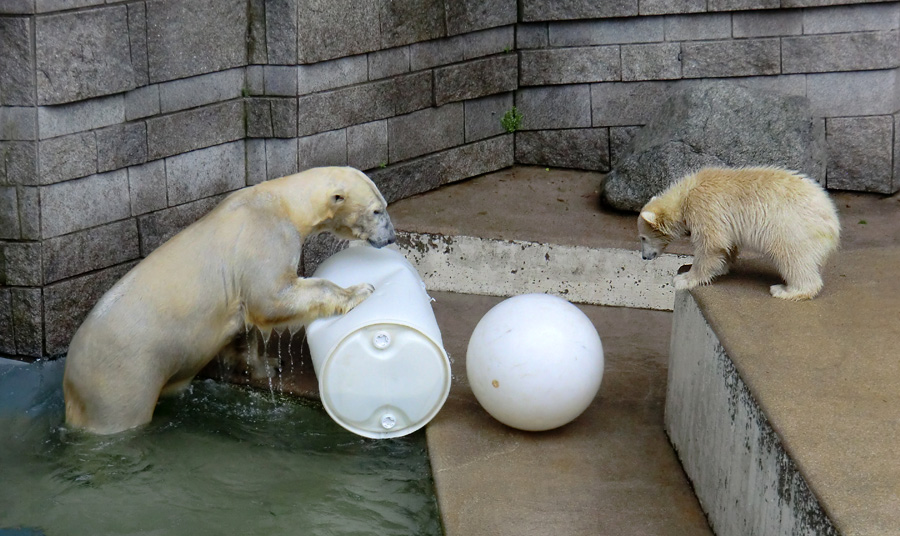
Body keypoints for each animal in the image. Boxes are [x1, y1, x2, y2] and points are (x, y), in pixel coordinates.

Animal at [65, 165, 396, 434]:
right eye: (377, 211)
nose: (391, 237)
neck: (283, 202)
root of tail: (70, 384)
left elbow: (243, 327)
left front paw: (270, 363)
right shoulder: (265, 237)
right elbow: (271, 298)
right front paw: (360, 290)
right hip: (124, 375)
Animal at [636, 166, 840, 302]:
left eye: (643, 237)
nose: (645, 257)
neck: (685, 194)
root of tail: (832, 221)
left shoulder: (704, 206)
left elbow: (711, 244)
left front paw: (684, 279)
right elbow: (726, 245)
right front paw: (721, 268)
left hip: (792, 227)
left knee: (793, 258)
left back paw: (786, 290)